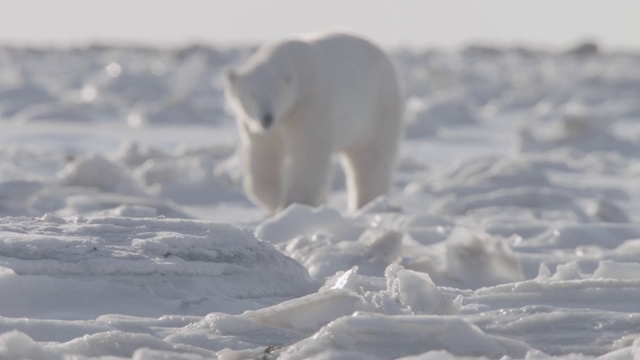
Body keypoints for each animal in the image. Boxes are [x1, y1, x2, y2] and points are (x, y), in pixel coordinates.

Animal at [225, 30, 402, 214]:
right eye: (252, 95)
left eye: (276, 94)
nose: (266, 118)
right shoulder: (261, 130)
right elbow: (264, 156)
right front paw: (275, 200)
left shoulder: (309, 106)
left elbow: (308, 154)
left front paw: (294, 203)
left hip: (377, 109)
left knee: (371, 157)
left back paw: (366, 203)